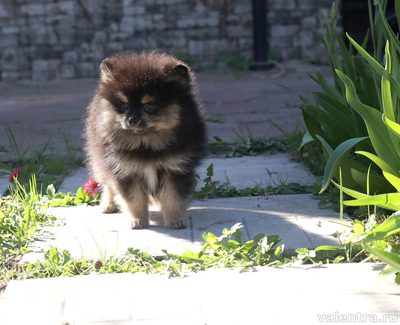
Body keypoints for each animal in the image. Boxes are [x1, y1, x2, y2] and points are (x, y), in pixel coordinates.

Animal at [85, 50, 208, 228]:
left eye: (149, 106)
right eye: (124, 106)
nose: (132, 120)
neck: (146, 143)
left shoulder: (176, 168)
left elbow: (173, 197)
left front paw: (175, 219)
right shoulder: (125, 170)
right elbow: (133, 199)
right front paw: (137, 220)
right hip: (101, 162)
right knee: (108, 185)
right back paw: (108, 205)